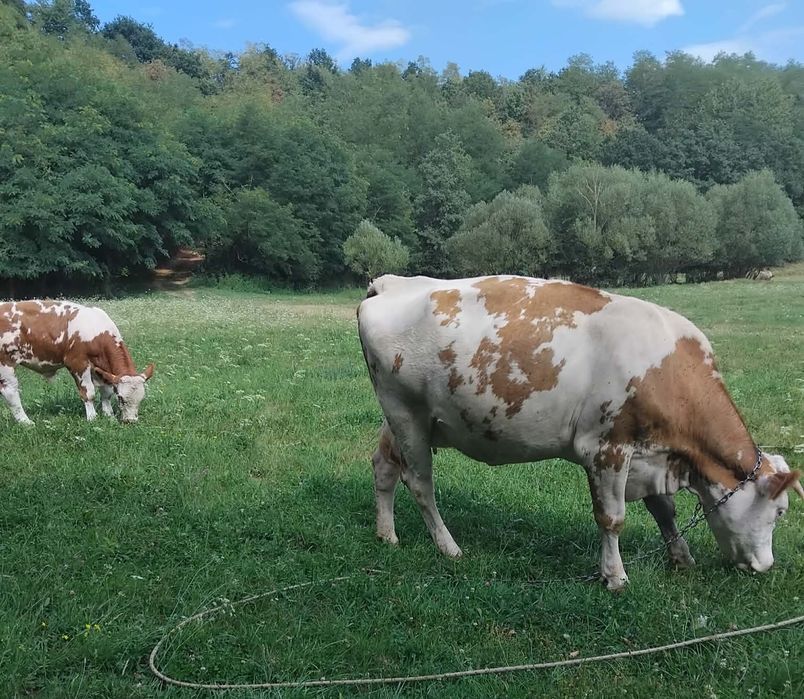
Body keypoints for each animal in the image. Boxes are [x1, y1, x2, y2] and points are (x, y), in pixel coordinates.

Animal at [0, 300, 154, 425]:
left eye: (142, 398)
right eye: (121, 398)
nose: (130, 421)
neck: (96, 330)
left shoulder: (100, 368)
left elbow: (106, 392)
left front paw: (109, 415)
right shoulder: (78, 363)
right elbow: (89, 392)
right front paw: (92, 418)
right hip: (5, 363)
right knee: (10, 392)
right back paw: (26, 422)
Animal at [357, 275, 803, 590]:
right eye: (780, 512)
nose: (765, 566)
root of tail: (393, 282)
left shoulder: (650, 454)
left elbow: (664, 510)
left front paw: (681, 557)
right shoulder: (607, 449)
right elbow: (612, 518)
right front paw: (615, 577)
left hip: (402, 418)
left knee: (384, 466)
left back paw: (387, 534)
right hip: (406, 413)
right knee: (420, 483)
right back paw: (448, 547)